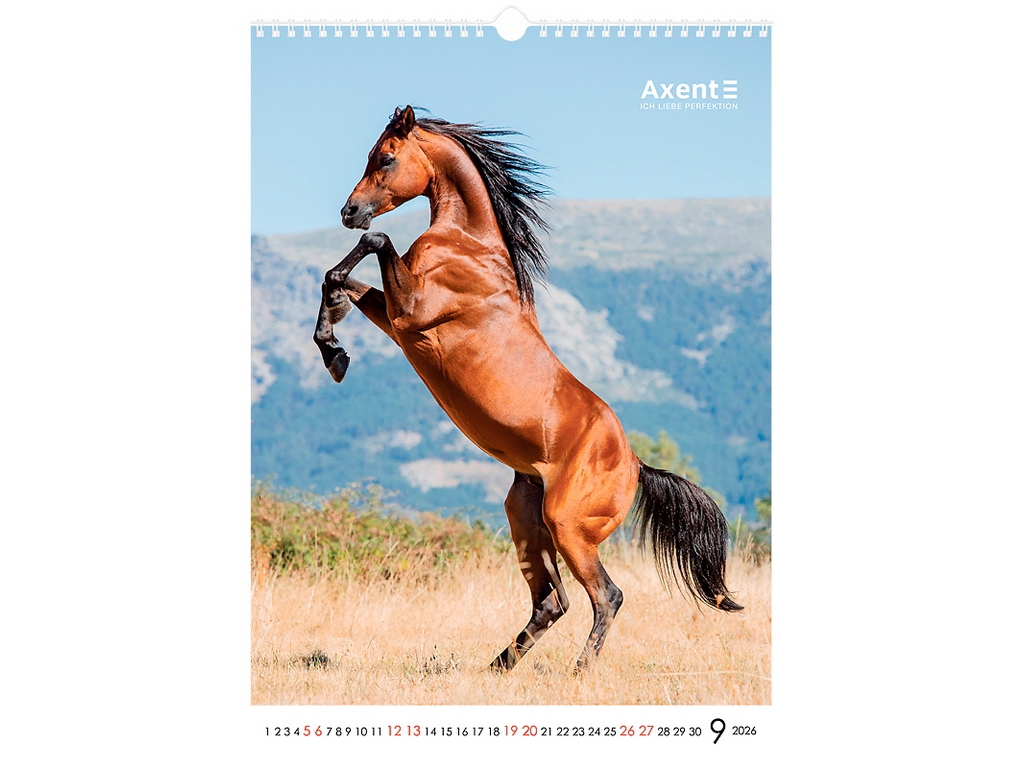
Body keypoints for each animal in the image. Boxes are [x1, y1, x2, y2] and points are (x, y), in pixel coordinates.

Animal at [314, 106, 741, 673]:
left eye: (385, 157)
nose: (349, 211)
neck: (470, 246)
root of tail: (635, 464)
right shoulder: (400, 320)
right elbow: (338, 278)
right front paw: (334, 350)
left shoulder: (412, 312)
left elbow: (375, 244)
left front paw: (334, 346)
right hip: (525, 515)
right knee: (551, 602)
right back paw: (495, 669)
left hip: (567, 526)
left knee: (605, 596)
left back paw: (578, 671)